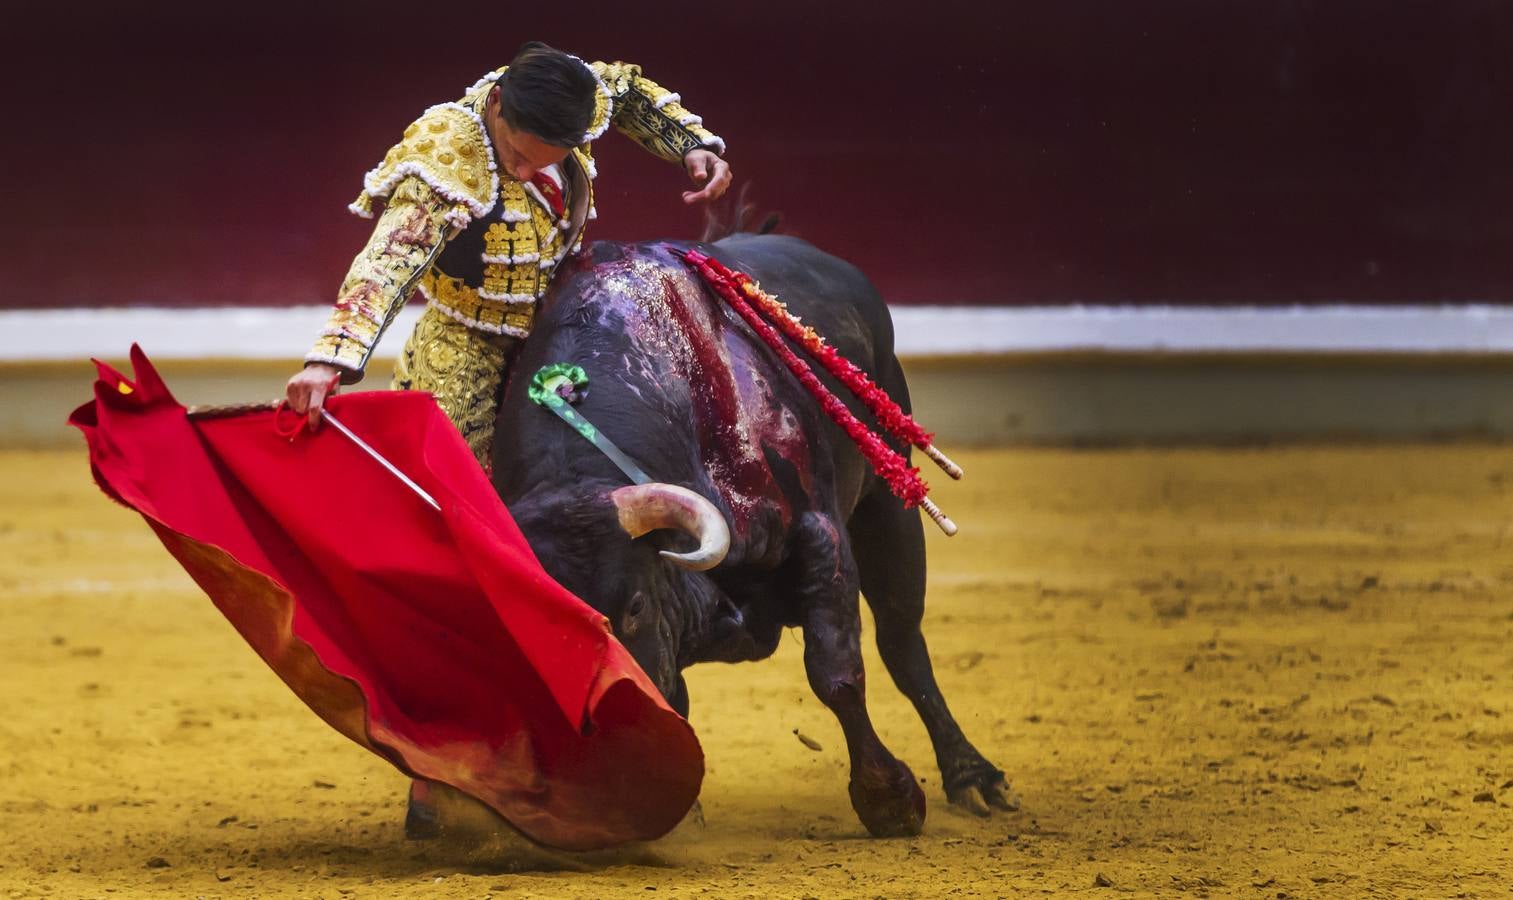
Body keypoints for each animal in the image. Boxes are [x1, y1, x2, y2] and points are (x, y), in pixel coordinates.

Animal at [490, 232, 1010, 841]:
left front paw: (891, 800)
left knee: (902, 643)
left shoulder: (819, 534)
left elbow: (836, 673)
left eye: (634, 606)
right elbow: (676, 698)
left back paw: (972, 776)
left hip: (889, 493)